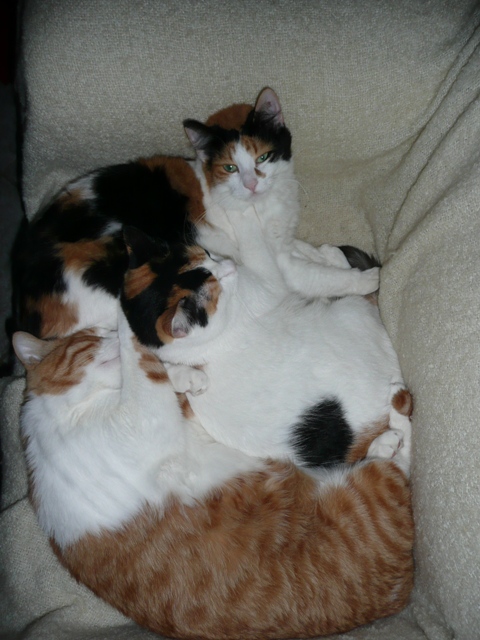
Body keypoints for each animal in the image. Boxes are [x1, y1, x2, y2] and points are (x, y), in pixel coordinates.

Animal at [12, 305, 413, 640]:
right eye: (93, 336)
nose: (109, 332)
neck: (75, 408)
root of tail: (401, 596)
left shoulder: (175, 415)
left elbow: (160, 377)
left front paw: (183, 375)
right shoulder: (140, 419)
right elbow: (142, 369)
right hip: (371, 487)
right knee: (403, 456)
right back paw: (393, 425)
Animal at [13, 88, 378, 342]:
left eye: (262, 158)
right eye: (230, 168)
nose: (251, 184)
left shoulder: (282, 241)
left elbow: (306, 250)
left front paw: (330, 254)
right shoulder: (277, 263)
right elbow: (319, 276)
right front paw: (369, 277)